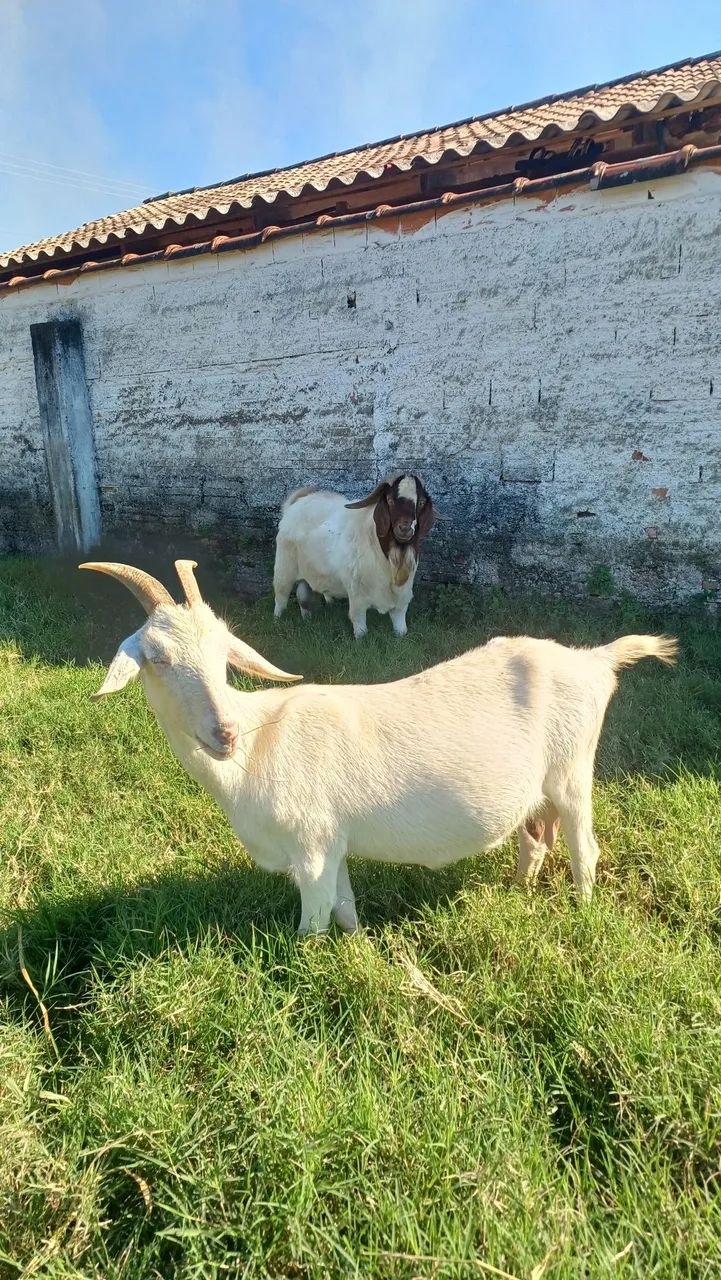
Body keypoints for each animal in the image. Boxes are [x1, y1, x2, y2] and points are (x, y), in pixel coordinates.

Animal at [80, 560, 677, 933]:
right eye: (157, 657)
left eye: (224, 653)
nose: (224, 733)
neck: (258, 742)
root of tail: (594, 660)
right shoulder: (330, 844)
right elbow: (345, 912)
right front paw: (362, 950)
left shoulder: (310, 846)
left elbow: (314, 925)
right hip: (540, 790)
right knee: (534, 840)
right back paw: (518, 892)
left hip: (573, 771)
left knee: (583, 848)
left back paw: (583, 912)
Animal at [272, 473, 436, 638]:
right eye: (390, 499)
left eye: (421, 502)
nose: (405, 528)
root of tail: (295, 504)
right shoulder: (358, 596)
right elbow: (360, 626)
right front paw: (360, 638)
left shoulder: (401, 599)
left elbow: (401, 629)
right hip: (284, 569)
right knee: (280, 597)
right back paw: (277, 620)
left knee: (303, 597)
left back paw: (307, 619)